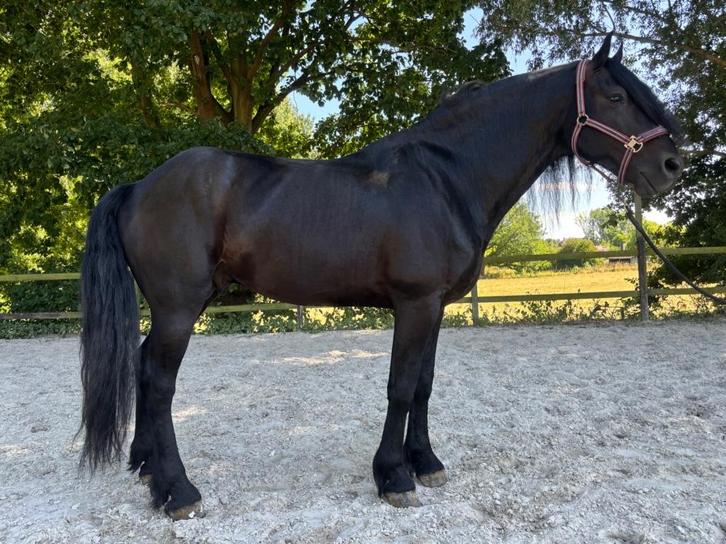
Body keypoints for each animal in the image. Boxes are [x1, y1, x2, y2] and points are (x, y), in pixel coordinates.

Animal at [79, 34, 684, 520]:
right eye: (615, 98)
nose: (672, 168)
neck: (445, 178)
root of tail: (137, 186)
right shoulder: (414, 303)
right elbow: (399, 386)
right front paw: (394, 476)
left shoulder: (436, 306)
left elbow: (424, 385)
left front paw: (426, 462)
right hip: (180, 308)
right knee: (159, 383)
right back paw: (178, 491)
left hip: (179, 306)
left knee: (142, 369)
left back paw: (147, 470)